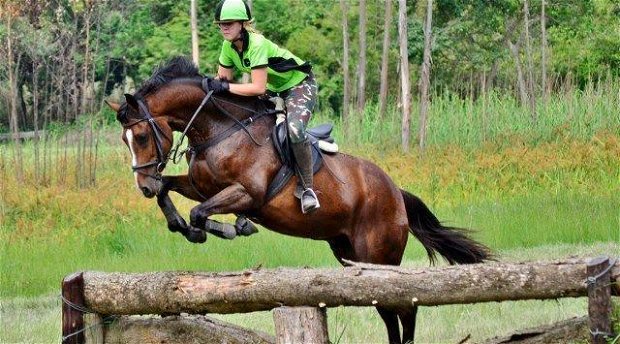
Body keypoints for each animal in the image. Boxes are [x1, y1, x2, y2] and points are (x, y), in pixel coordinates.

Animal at [108, 57, 494, 344]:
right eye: (124, 139)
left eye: (140, 136)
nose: (142, 185)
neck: (219, 130)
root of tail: (395, 192)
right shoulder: (200, 185)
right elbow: (171, 193)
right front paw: (180, 223)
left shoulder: (246, 193)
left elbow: (201, 212)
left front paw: (226, 229)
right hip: (351, 255)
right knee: (387, 311)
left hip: (379, 254)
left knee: (406, 306)